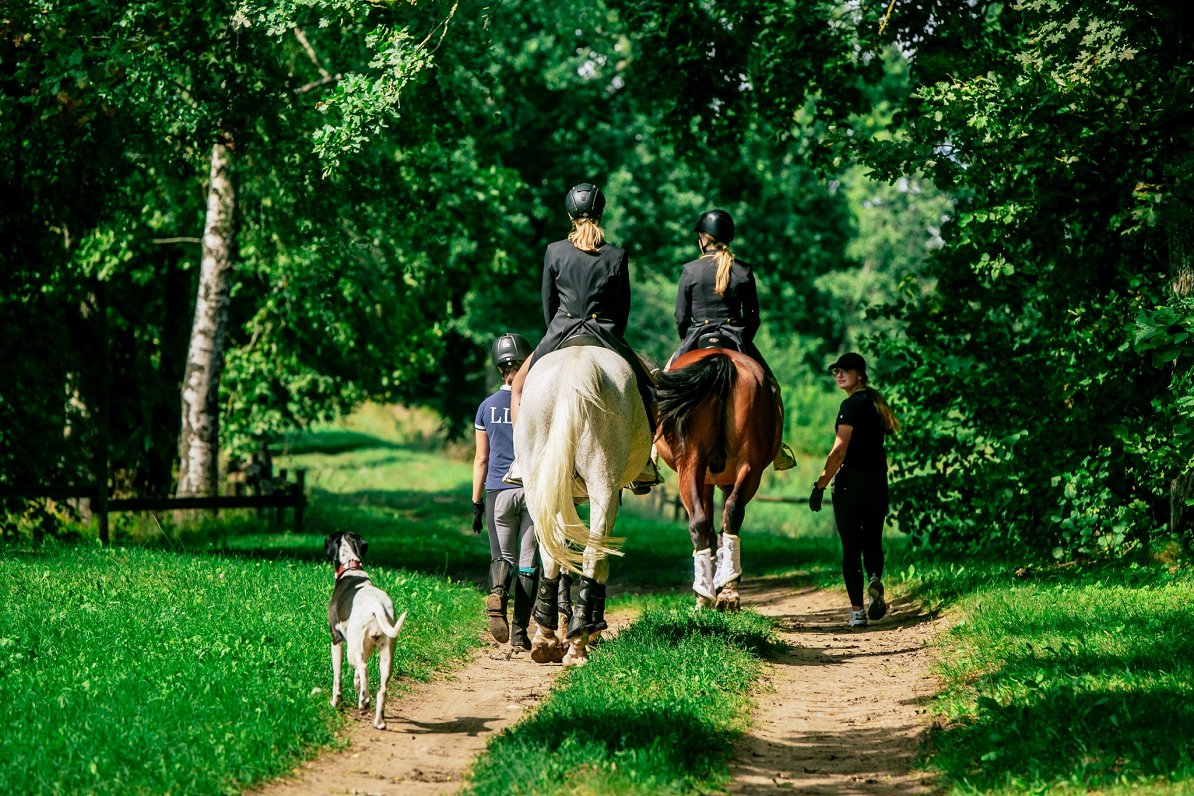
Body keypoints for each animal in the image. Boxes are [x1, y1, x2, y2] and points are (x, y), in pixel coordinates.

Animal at [324, 532, 408, 730]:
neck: (351, 567)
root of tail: (376, 605)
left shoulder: (336, 640)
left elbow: (337, 678)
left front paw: (335, 703)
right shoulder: (366, 647)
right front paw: (356, 685)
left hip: (352, 649)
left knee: (364, 668)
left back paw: (363, 702)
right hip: (386, 654)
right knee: (381, 688)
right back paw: (378, 720)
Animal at [518, 346, 654, 668]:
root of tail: (578, 361)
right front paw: (591, 627)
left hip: (537, 484)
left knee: (552, 551)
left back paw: (545, 639)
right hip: (603, 483)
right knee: (593, 553)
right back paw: (578, 641)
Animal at [654, 346, 783, 611]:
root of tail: (721, 357)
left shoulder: (707, 481)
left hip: (691, 464)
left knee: (701, 521)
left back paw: (705, 593)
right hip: (748, 467)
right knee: (731, 513)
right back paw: (727, 591)